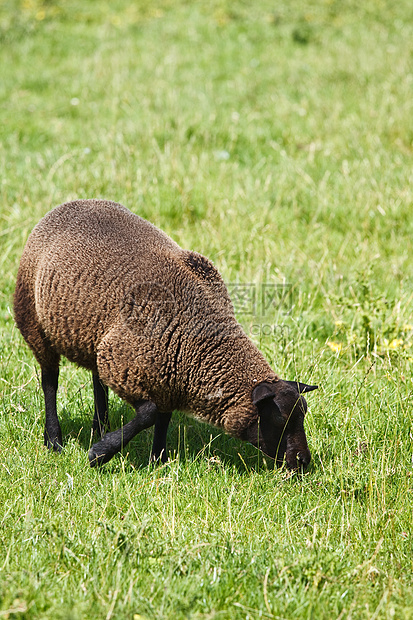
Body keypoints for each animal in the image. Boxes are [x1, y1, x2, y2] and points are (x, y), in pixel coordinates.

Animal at [12, 200, 316, 470]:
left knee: (96, 380)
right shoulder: (129, 364)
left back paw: (100, 426)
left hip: (95, 337)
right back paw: (54, 439)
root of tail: (71, 203)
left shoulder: (167, 376)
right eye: (280, 420)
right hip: (33, 322)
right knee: (49, 381)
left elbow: (163, 417)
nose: (303, 462)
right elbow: (148, 414)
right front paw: (101, 453)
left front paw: (157, 459)